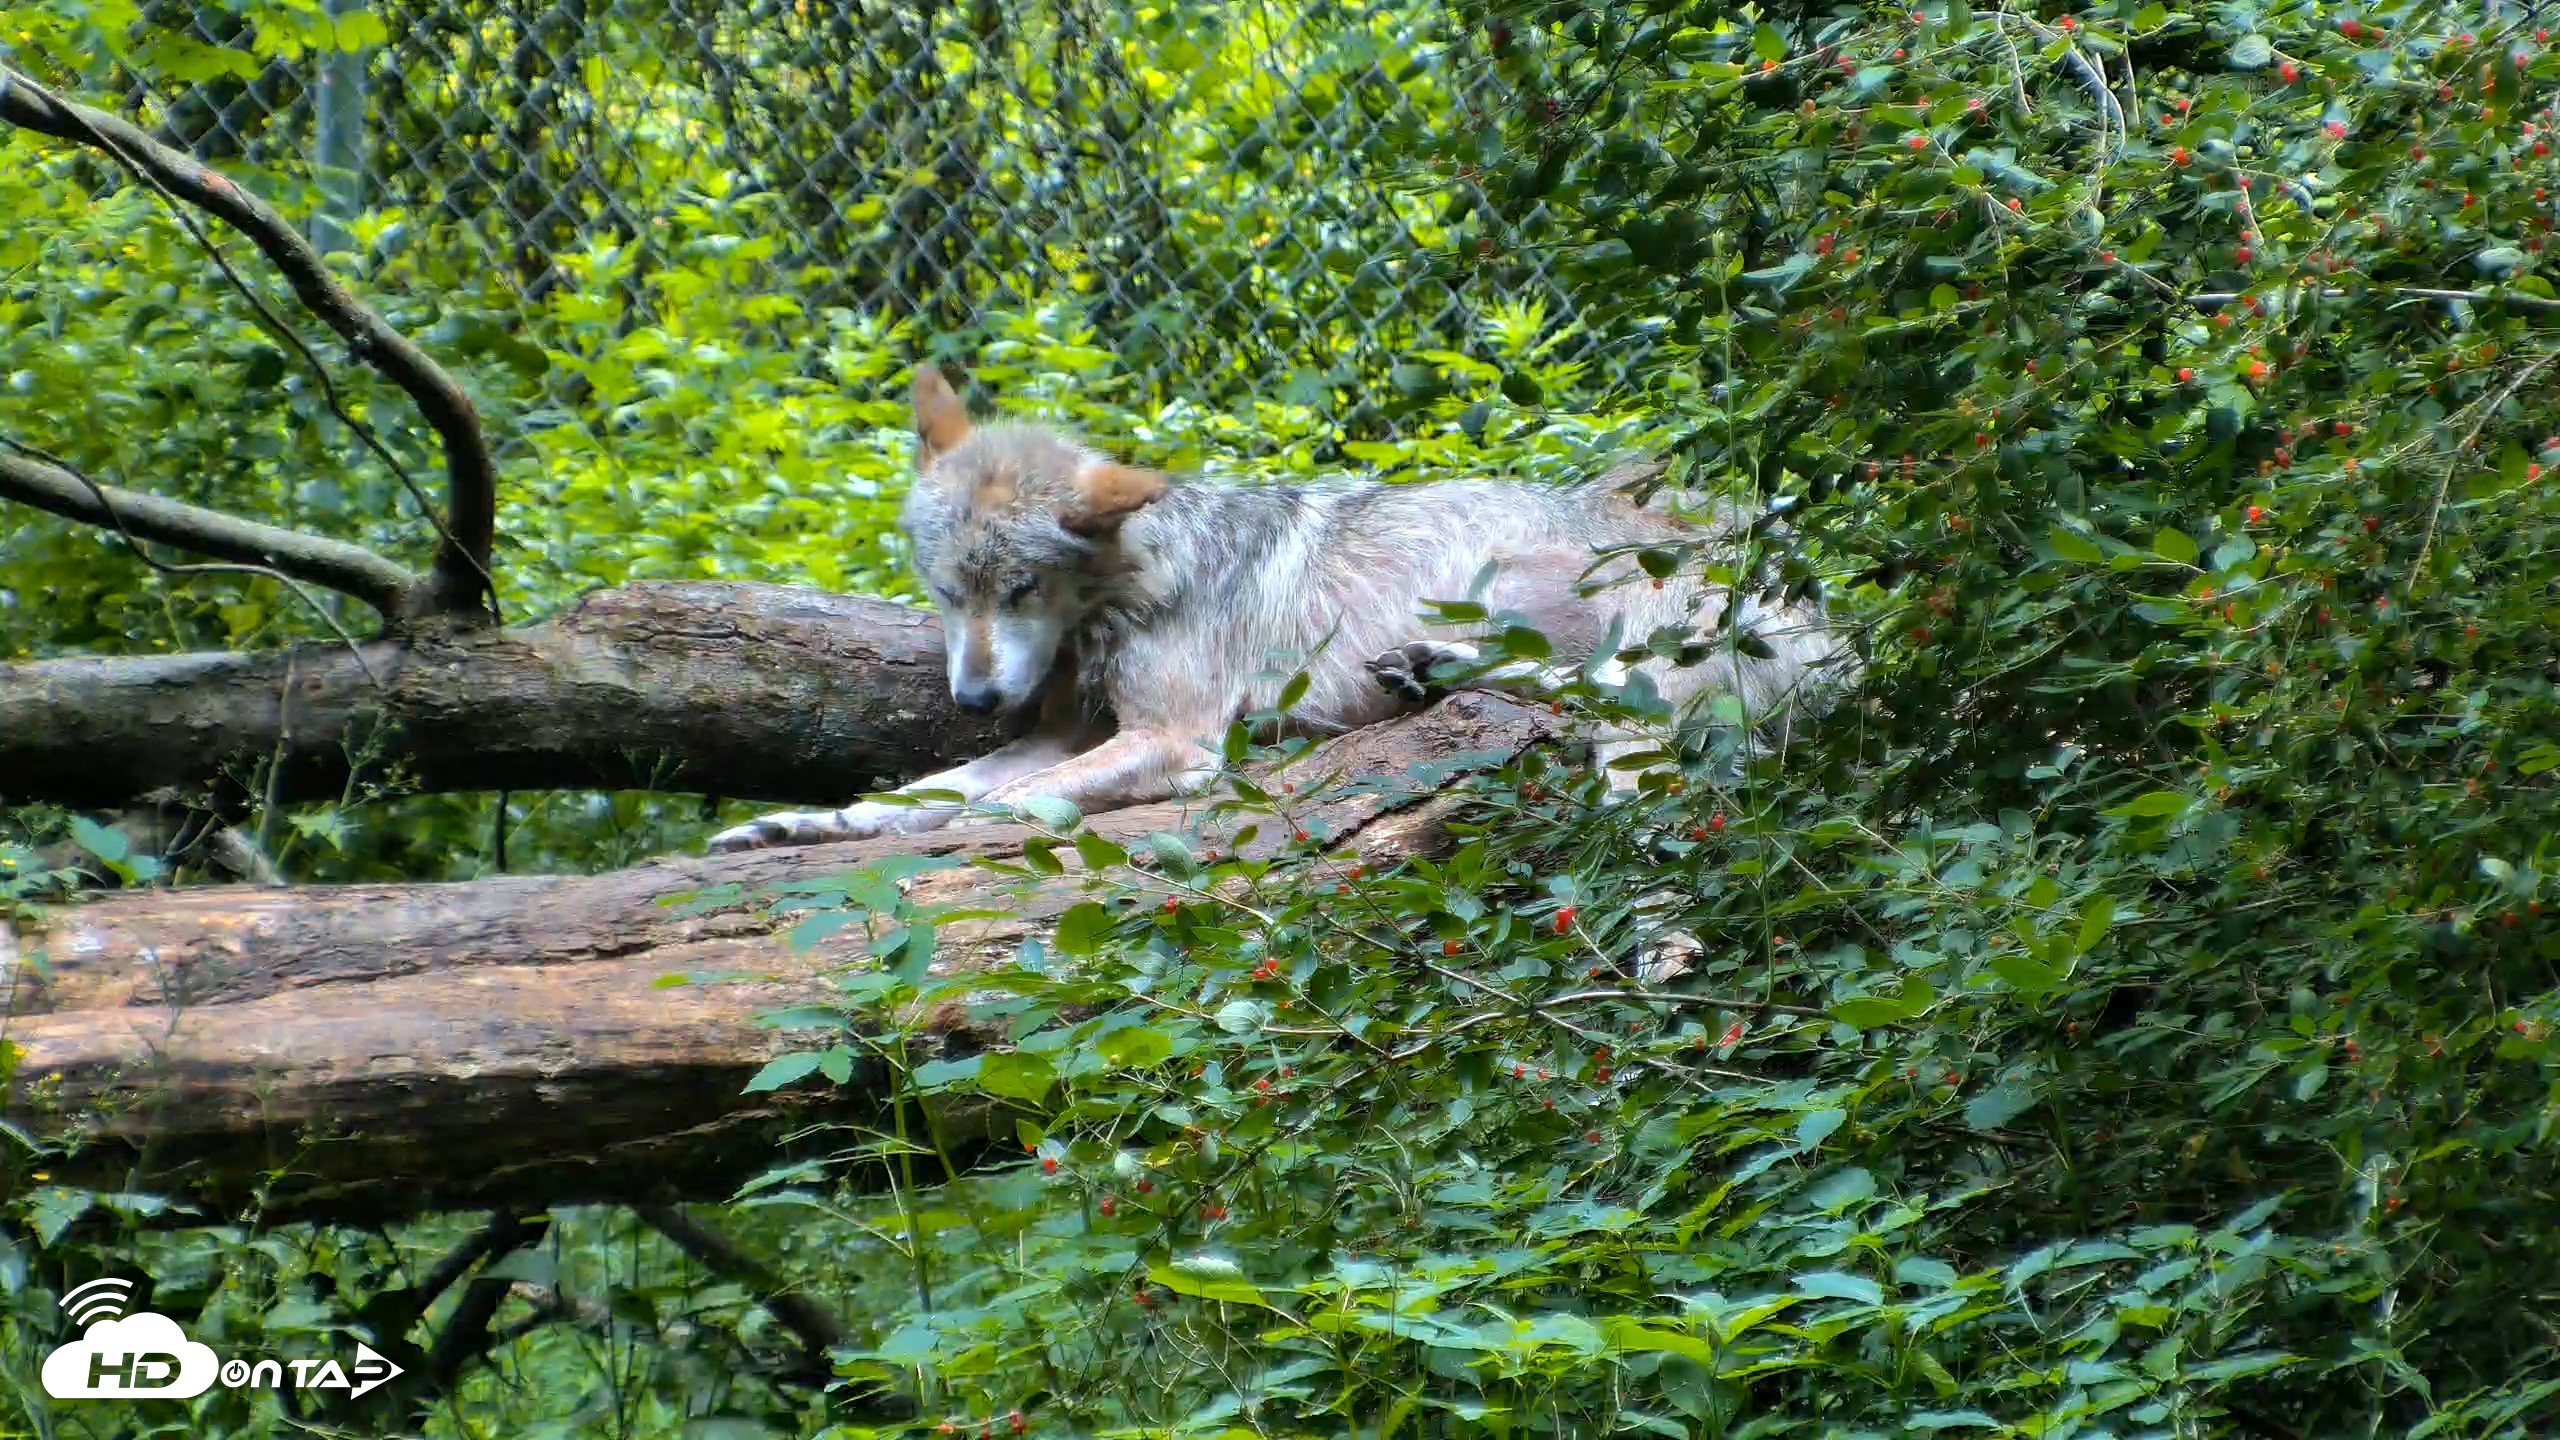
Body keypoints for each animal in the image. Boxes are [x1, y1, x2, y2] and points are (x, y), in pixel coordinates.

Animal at [706, 364, 1855, 858]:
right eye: (947, 593)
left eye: (1020, 591)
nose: (978, 700)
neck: (1130, 595)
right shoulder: (1055, 736)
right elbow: (919, 794)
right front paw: (800, 824)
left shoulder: (1170, 743)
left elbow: (986, 808)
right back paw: (1426, 671)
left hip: (1528, 587)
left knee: (1612, 693)